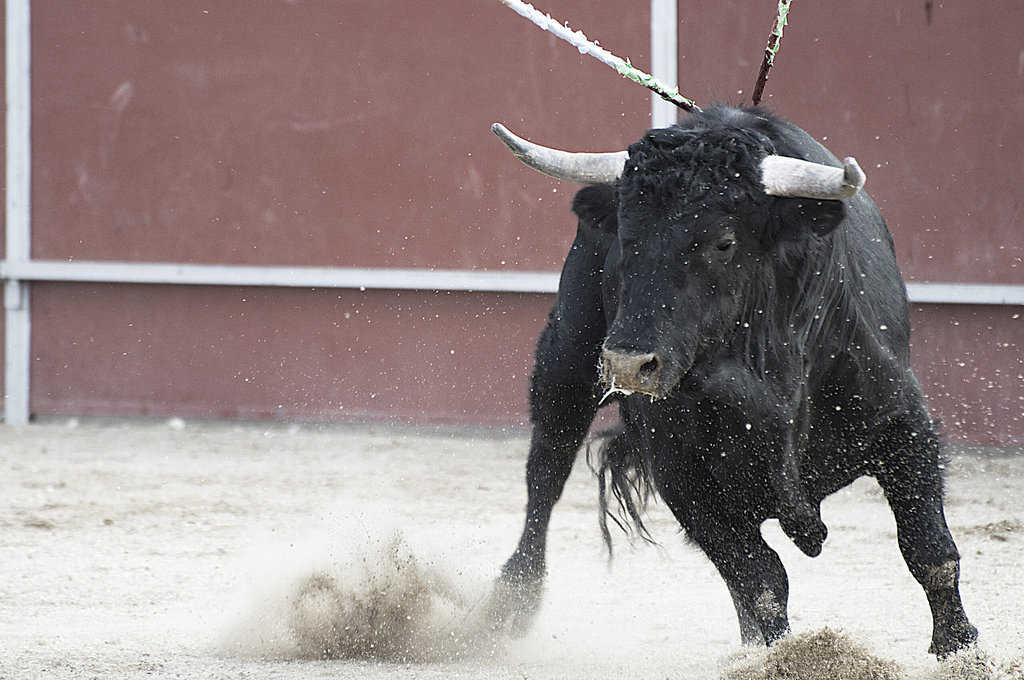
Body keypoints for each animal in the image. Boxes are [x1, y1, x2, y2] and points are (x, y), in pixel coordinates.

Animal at [485, 105, 978, 657]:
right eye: (625, 241)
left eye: (724, 242)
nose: (628, 365)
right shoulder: (682, 473)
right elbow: (759, 577)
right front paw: (776, 657)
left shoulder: (903, 424)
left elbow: (930, 550)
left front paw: (959, 650)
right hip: (565, 362)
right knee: (547, 471)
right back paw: (512, 599)